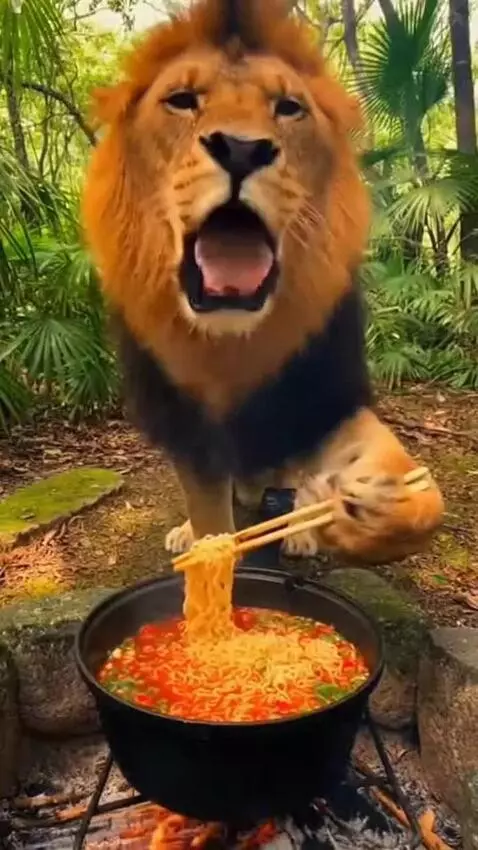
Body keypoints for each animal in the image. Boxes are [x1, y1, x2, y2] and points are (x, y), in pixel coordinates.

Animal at [83, 0, 444, 562]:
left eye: (289, 108)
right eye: (182, 101)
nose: (240, 148)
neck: (234, 344)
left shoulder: (323, 398)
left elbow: (413, 493)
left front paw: (377, 507)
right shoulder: (192, 436)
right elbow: (211, 521)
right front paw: (206, 554)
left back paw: (301, 528)